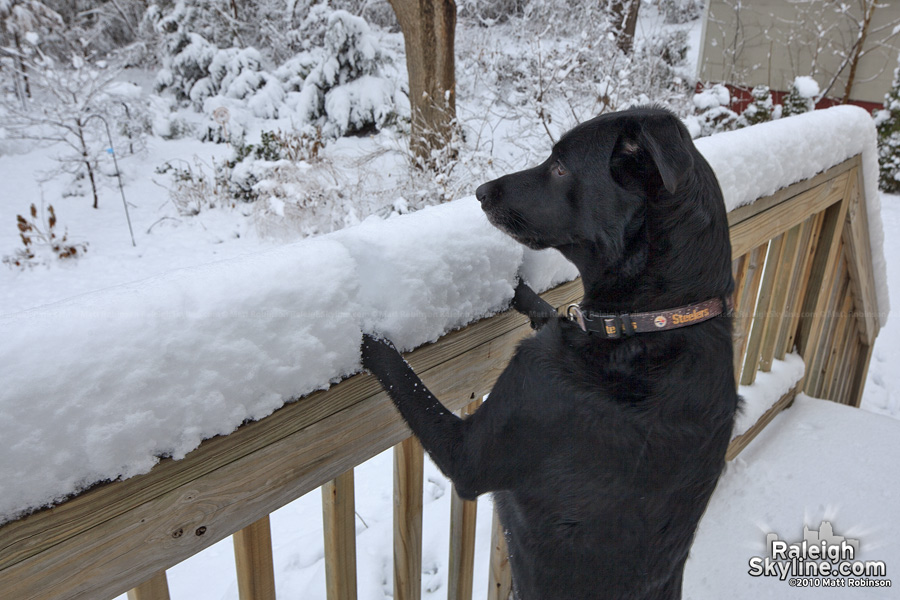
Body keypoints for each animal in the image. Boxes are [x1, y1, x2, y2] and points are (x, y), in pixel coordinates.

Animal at [362, 108, 740, 600]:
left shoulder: (472, 451)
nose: (481, 192)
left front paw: (369, 335)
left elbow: (405, 379)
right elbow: (551, 310)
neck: (648, 325)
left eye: (560, 167)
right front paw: (518, 288)